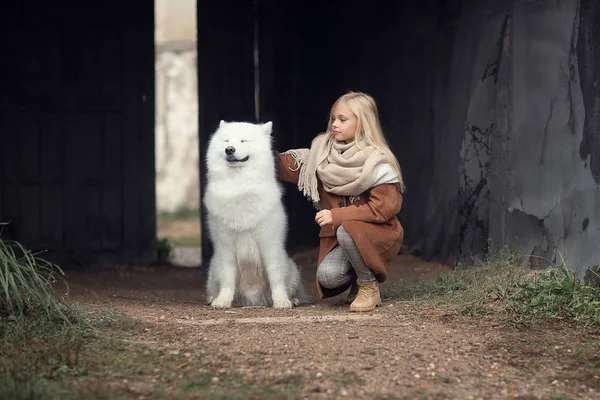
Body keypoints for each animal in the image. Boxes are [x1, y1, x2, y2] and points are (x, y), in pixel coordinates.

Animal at [204, 120, 308, 308]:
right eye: (226, 140)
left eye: (243, 141)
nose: (229, 149)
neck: (239, 186)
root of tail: (253, 299)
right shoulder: (225, 246)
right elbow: (227, 279)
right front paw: (222, 301)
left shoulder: (270, 244)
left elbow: (276, 277)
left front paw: (281, 301)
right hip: (213, 268)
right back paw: (212, 298)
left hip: (292, 269)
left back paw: (293, 299)